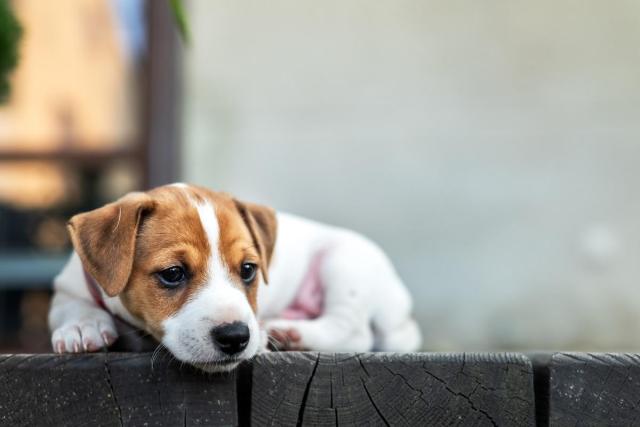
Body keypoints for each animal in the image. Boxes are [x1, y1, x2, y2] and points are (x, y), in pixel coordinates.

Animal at [48, 184, 420, 372]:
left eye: (248, 269)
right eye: (173, 274)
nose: (236, 337)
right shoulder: (67, 289)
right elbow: (73, 306)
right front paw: (82, 328)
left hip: (344, 261)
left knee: (354, 330)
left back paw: (289, 333)